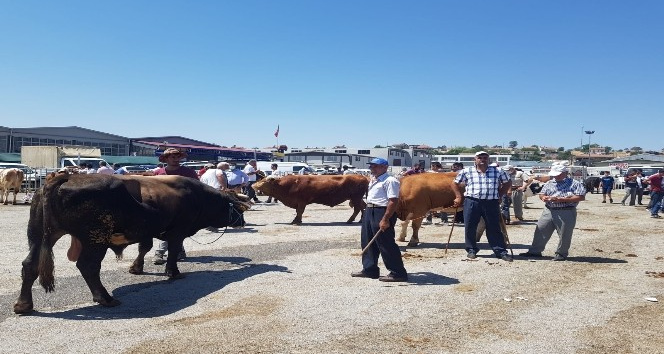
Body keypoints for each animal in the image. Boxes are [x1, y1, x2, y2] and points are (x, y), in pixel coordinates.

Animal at [13, 173, 252, 314]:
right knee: (88, 266)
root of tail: (65, 177)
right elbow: (173, 251)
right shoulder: (178, 231)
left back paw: (24, 304)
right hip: (95, 239)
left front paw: (136, 268)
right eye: (234, 207)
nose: (242, 221)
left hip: (39, 235)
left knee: (30, 265)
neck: (197, 196)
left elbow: (144, 248)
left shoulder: (147, 231)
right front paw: (173, 272)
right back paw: (105, 298)